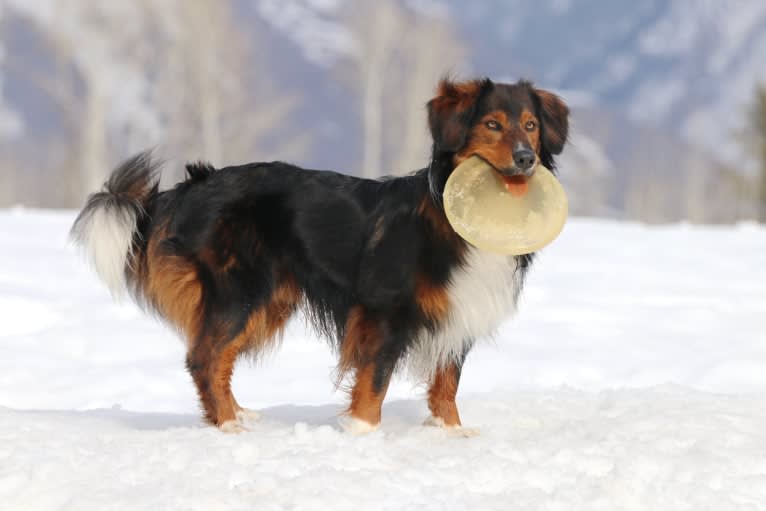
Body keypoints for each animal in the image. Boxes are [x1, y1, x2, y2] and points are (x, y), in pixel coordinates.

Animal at [70, 78, 568, 434]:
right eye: (491, 125)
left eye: (531, 126)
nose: (525, 158)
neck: (445, 212)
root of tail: (190, 186)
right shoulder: (384, 312)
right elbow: (375, 380)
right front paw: (363, 434)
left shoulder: (459, 310)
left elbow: (447, 382)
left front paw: (451, 433)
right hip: (240, 290)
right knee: (203, 357)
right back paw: (228, 427)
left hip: (267, 299)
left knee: (217, 357)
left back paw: (237, 416)